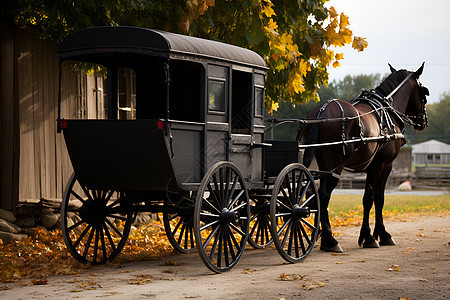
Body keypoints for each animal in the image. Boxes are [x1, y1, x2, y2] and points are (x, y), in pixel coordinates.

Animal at [302, 63, 428, 253]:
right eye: (424, 94)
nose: (423, 121)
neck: (387, 111)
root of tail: (321, 112)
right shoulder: (383, 165)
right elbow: (374, 198)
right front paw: (372, 236)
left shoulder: (377, 167)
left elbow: (375, 197)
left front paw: (378, 233)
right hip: (335, 165)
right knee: (324, 195)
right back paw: (331, 240)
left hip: (324, 163)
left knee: (318, 195)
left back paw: (324, 238)